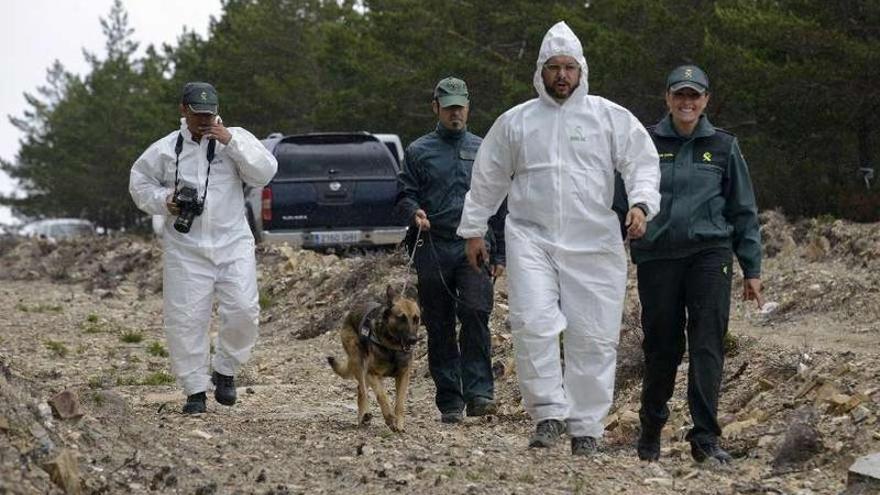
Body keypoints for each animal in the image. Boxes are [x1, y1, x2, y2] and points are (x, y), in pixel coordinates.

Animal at [328, 284, 422, 432]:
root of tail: (353, 310)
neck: (392, 347)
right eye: (401, 318)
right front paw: (390, 419)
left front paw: (399, 424)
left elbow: (400, 402)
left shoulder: (403, 375)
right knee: (362, 391)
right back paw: (364, 415)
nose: (413, 340)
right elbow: (382, 396)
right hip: (358, 362)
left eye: (416, 318)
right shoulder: (372, 374)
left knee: (360, 389)